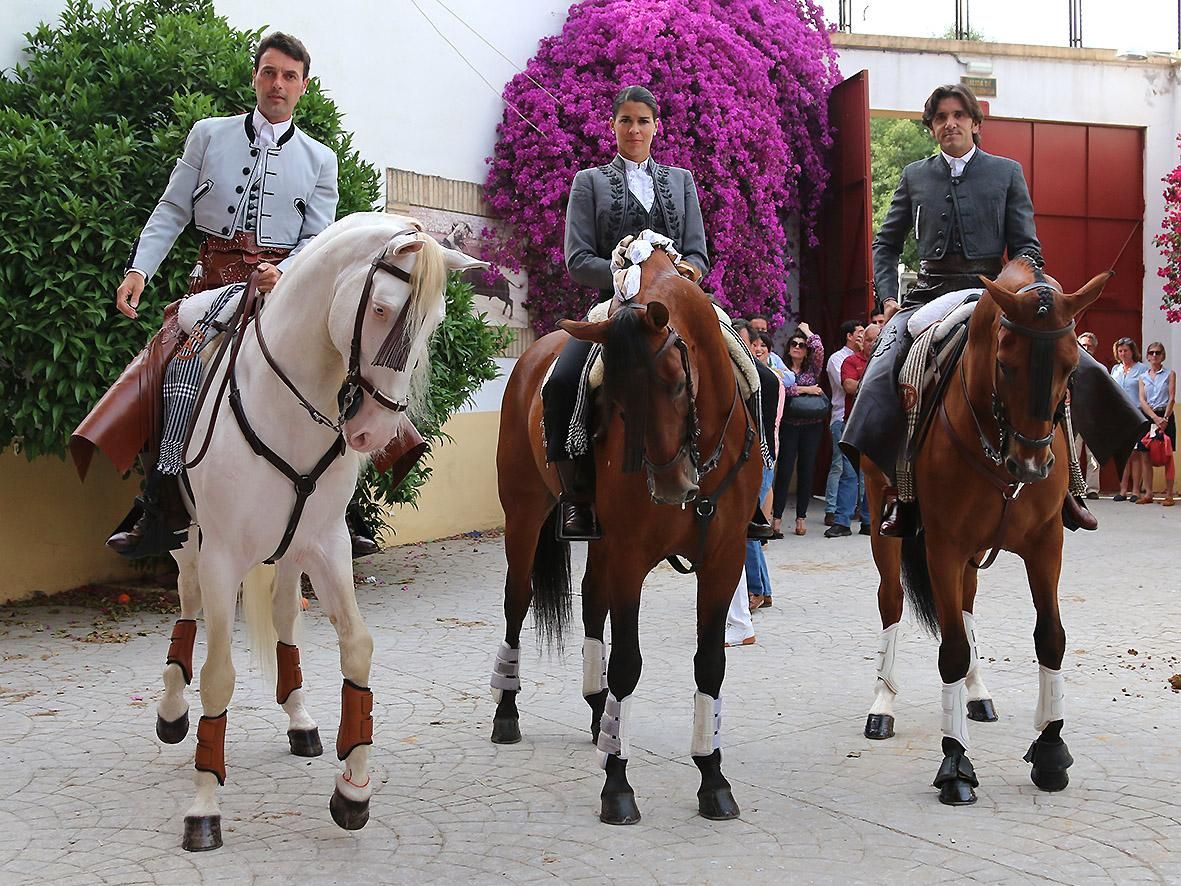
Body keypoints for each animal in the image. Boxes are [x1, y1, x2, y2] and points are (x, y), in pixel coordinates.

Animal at [153, 213, 484, 855]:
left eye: (432, 321)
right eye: (381, 309)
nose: (374, 432)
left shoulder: (328, 546)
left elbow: (357, 648)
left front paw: (352, 787)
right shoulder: (222, 554)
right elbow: (218, 676)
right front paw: (204, 806)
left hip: (287, 554)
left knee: (284, 616)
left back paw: (300, 719)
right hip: (190, 540)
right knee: (187, 605)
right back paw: (172, 709)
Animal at [486, 244, 755, 826]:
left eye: (677, 381)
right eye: (615, 402)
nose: (672, 486)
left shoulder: (724, 558)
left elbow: (710, 663)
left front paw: (712, 777)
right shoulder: (631, 552)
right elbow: (629, 663)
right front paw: (617, 785)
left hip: (600, 539)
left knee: (591, 599)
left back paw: (598, 712)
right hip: (525, 515)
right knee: (517, 602)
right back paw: (507, 712)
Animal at [859, 256, 1105, 803]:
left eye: (1071, 367)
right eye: (1006, 363)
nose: (1031, 464)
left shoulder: (1045, 544)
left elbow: (1050, 637)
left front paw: (1051, 749)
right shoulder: (944, 547)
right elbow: (950, 649)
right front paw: (955, 763)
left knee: (967, 606)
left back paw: (977, 693)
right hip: (885, 526)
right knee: (891, 602)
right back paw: (882, 703)